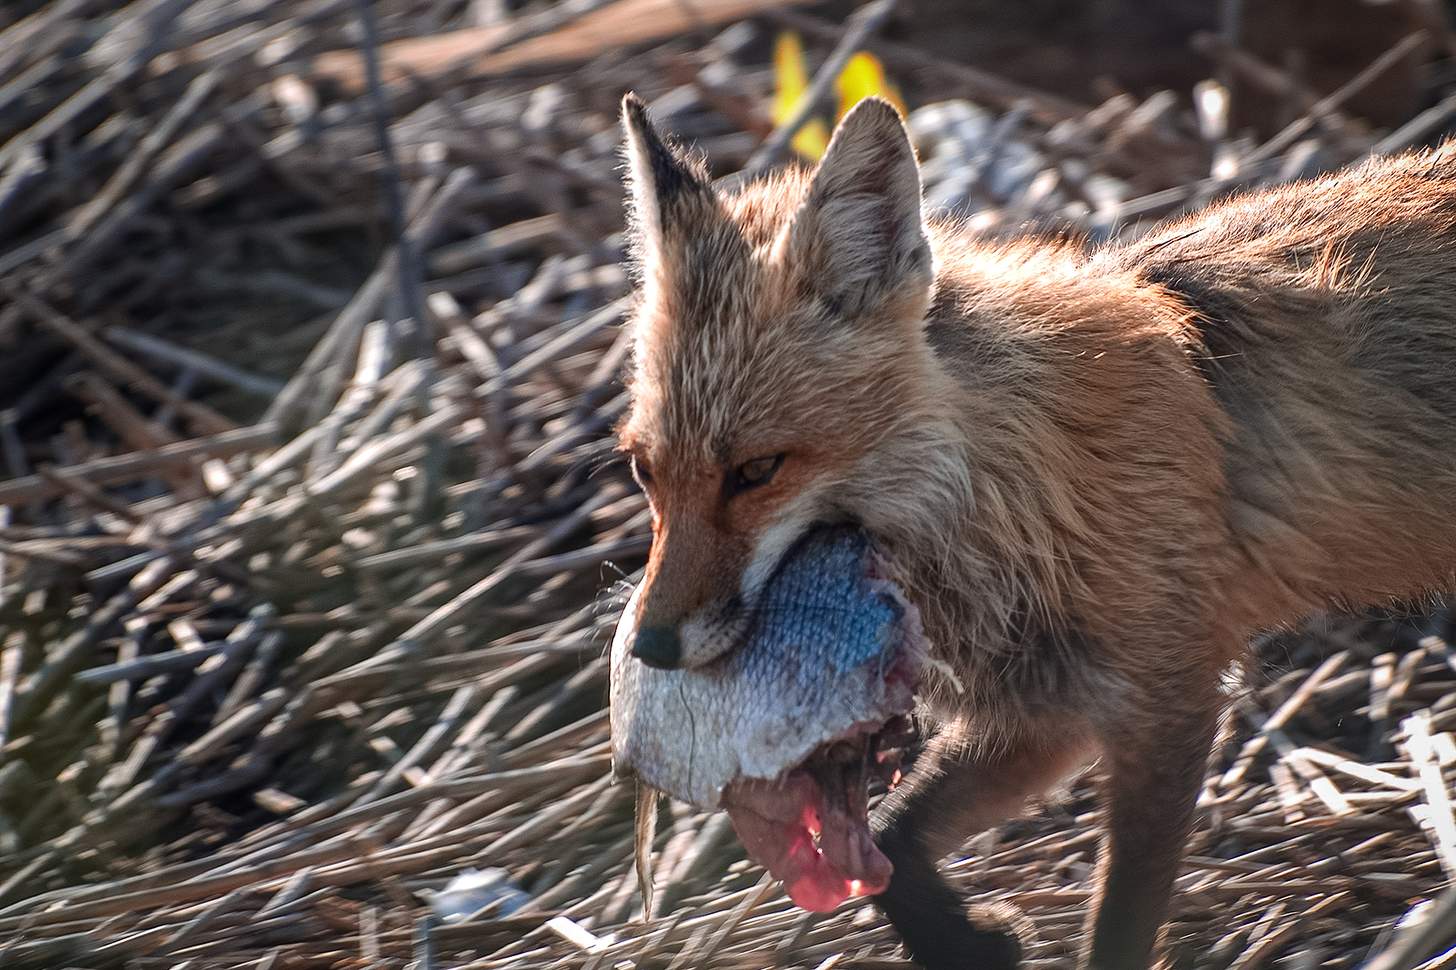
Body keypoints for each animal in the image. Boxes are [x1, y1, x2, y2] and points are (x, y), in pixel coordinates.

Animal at [612, 89, 1456, 970]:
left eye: (757, 470)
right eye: (644, 471)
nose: (651, 647)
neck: (1020, 486)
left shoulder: (1168, 698)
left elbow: (1119, 926)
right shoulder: (1044, 709)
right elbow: (895, 843)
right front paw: (964, 941)